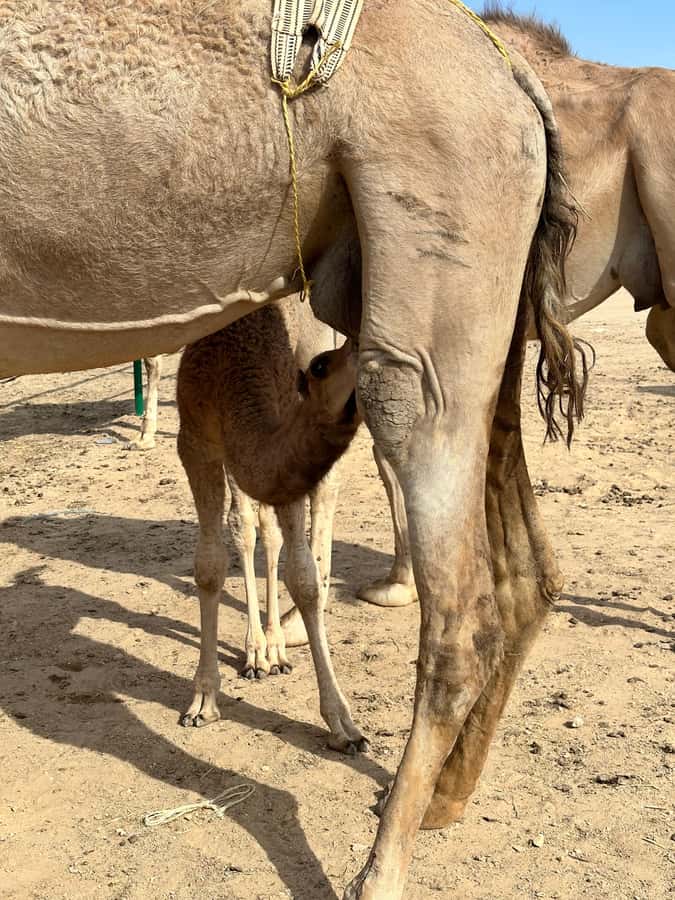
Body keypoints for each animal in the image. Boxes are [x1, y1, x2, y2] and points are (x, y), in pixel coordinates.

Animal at [0, 3, 588, 896]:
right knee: (527, 567)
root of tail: (516, 78)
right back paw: (443, 799)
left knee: (457, 608)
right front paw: (239, 673)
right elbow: (247, 545)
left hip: (432, 242)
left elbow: (267, 552)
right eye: (312, 372)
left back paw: (378, 865)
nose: (325, 367)